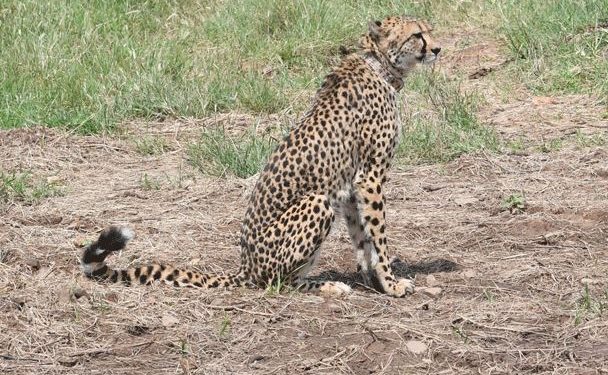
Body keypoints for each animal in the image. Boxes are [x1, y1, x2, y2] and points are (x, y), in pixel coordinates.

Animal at [81, 16, 442, 298]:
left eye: (430, 30)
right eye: (417, 34)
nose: (438, 49)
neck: (379, 64)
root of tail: (246, 267)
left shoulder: (353, 185)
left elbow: (362, 237)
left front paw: (372, 280)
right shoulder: (370, 176)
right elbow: (378, 235)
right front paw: (391, 284)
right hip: (316, 202)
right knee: (276, 282)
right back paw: (325, 286)